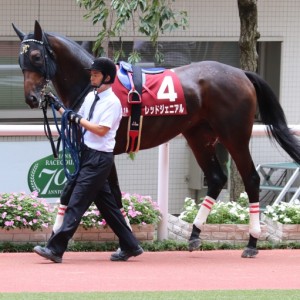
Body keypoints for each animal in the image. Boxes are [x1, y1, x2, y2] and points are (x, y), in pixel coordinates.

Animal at [12, 20, 300, 258]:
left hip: (235, 136)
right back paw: (195, 235)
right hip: (198, 135)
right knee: (217, 177)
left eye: (36, 56)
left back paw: (252, 243)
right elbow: (82, 193)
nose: (31, 98)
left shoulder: (103, 149)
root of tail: (242, 74)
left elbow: (97, 194)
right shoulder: (91, 152)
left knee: (251, 179)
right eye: (19, 58)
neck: (93, 87)